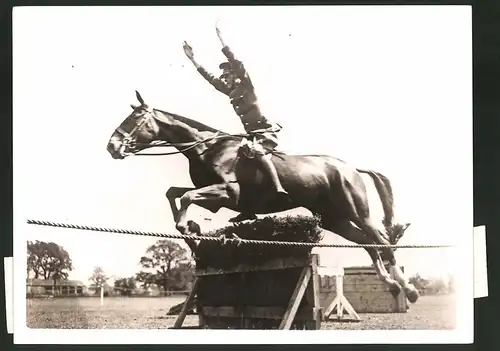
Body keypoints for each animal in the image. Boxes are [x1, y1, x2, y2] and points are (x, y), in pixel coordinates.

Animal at [106, 92, 418, 304]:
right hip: (335, 219)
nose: (112, 146)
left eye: (135, 119)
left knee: (381, 239)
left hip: (356, 210)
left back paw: (408, 288)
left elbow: (186, 198)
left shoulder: (228, 192)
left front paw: (188, 227)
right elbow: (174, 193)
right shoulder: (215, 197)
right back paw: (391, 284)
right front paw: (191, 231)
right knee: (369, 243)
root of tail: (351, 167)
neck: (209, 148)